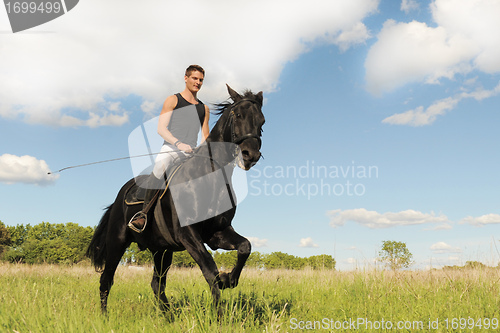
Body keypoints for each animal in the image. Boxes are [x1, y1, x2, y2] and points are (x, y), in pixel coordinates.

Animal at [86, 85, 266, 314]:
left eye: (262, 122)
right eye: (239, 115)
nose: (251, 155)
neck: (208, 176)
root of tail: (121, 194)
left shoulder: (217, 233)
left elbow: (245, 247)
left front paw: (228, 280)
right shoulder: (188, 234)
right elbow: (210, 270)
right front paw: (218, 315)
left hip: (161, 250)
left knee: (157, 284)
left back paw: (168, 316)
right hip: (117, 242)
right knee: (106, 280)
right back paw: (105, 316)